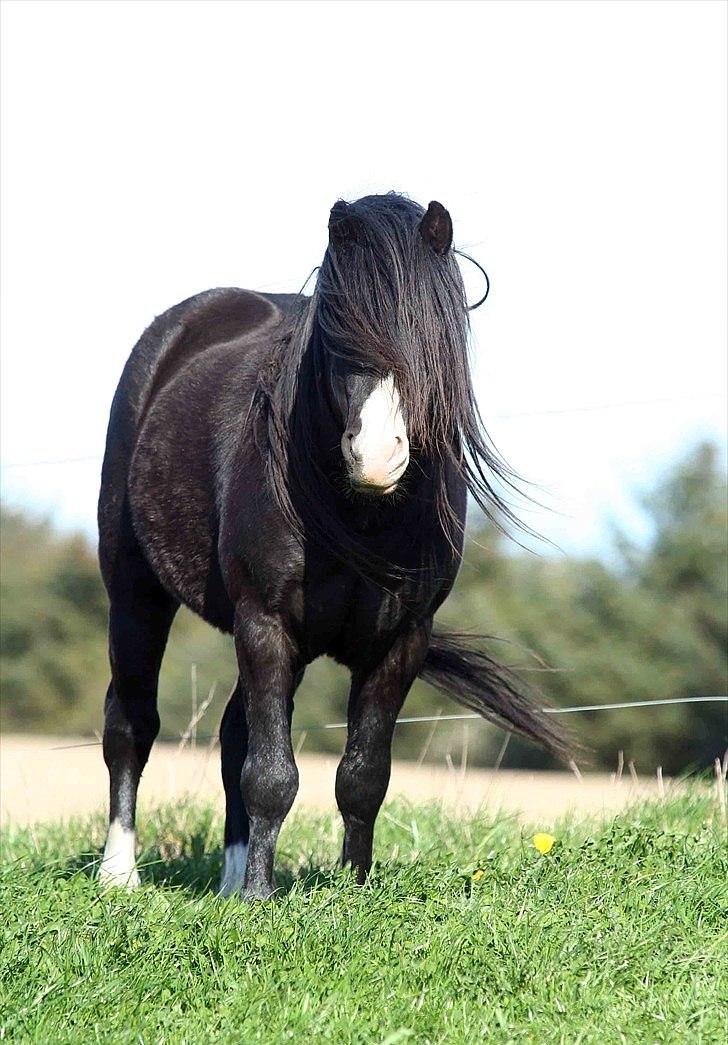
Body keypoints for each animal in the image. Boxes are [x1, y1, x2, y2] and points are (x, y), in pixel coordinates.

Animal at [96, 194, 564, 898]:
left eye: (433, 338)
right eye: (339, 337)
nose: (376, 458)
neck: (361, 515)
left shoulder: (401, 641)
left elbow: (362, 775)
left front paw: (352, 888)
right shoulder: (265, 623)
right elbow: (271, 773)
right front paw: (262, 899)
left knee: (233, 733)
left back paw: (229, 881)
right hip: (136, 593)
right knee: (132, 720)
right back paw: (119, 875)